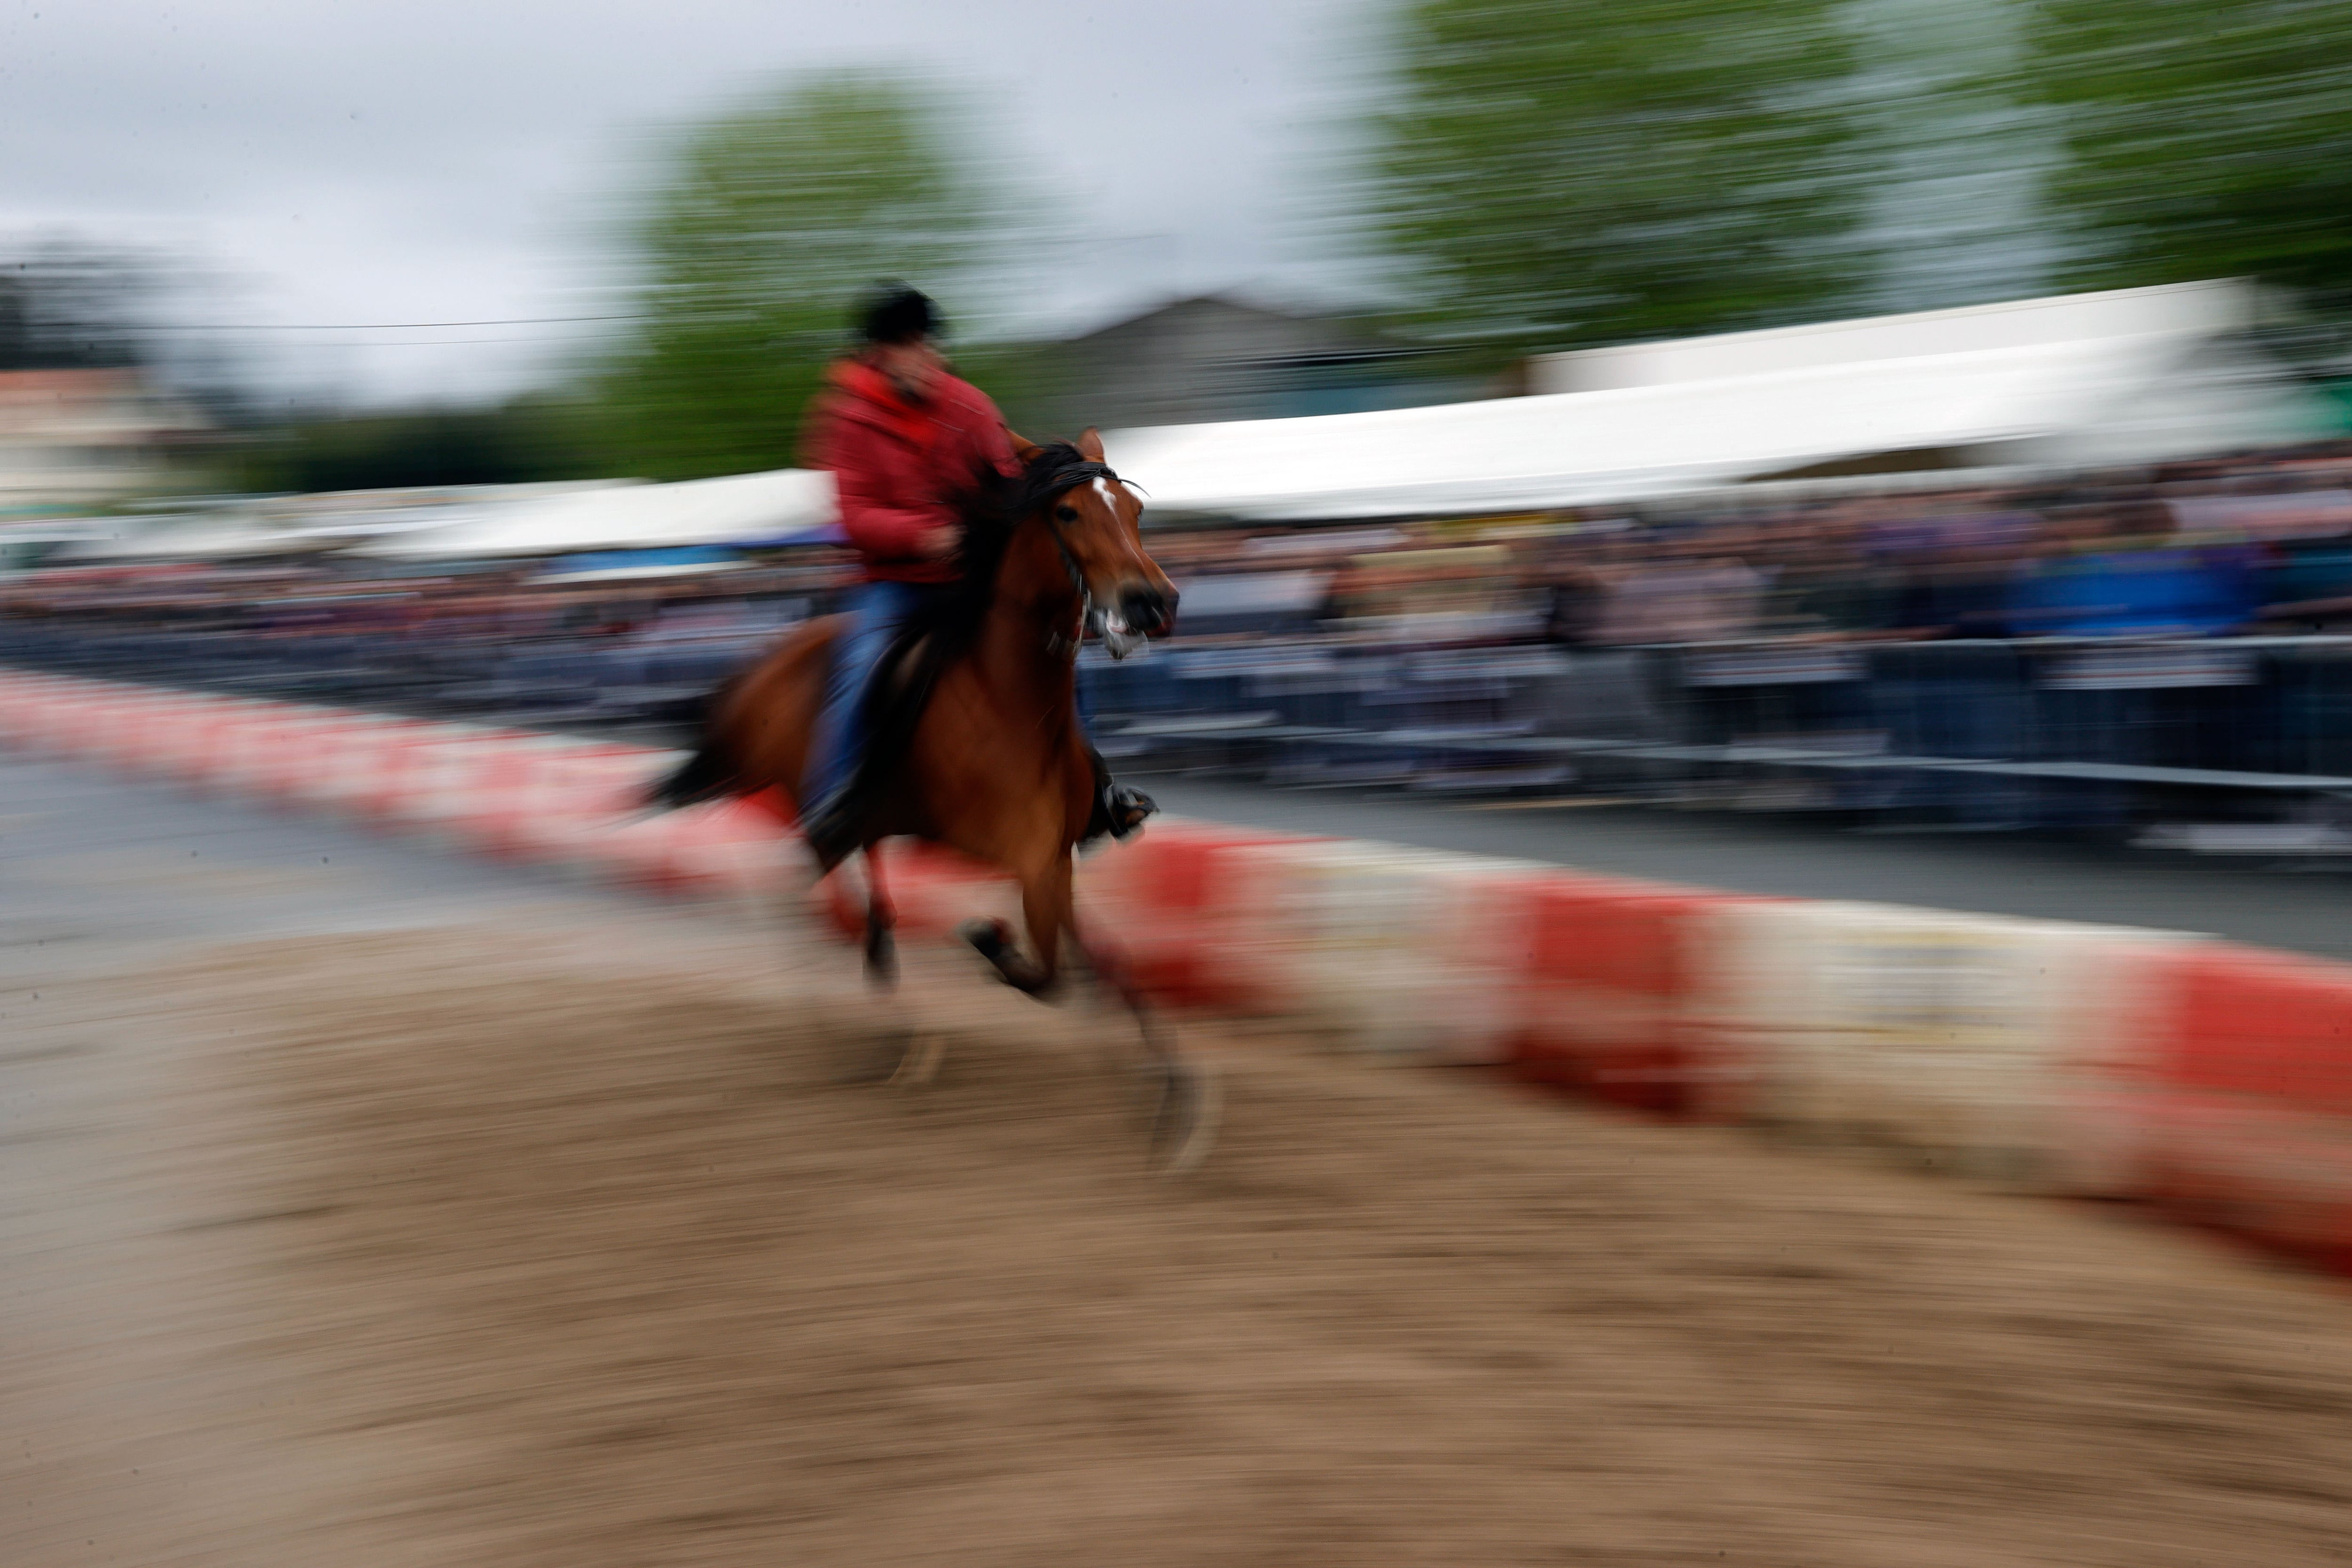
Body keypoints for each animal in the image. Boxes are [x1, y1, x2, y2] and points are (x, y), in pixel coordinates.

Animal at [654, 430, 1223, 1166]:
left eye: (1134, 510)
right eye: (1067, 513)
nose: (1152, 602)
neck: (1012, 702)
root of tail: (760, 666)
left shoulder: (1051, 859)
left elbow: (1104, 962)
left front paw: (1174, 1100)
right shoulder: (1024, 859)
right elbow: (1051, 971)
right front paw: (989, 939)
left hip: (865, 817)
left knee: (862, 892)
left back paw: (890, 998)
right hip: (812, 806)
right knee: (812, 894)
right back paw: (877, 1026)